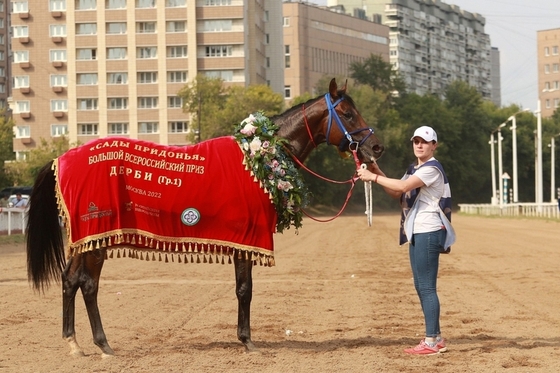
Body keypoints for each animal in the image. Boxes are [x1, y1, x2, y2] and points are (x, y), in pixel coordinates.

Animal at [26, 77, 384, 354]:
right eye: (347, 114)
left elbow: (243, 288)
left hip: (84, 239)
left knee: (70, 280)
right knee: (88, 284)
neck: (260, 158)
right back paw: (103, 344)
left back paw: (74, 343)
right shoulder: (248, 238)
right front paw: (247, 341)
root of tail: (62, 159)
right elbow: (245, 289)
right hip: (97, 235)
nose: (376, 147)